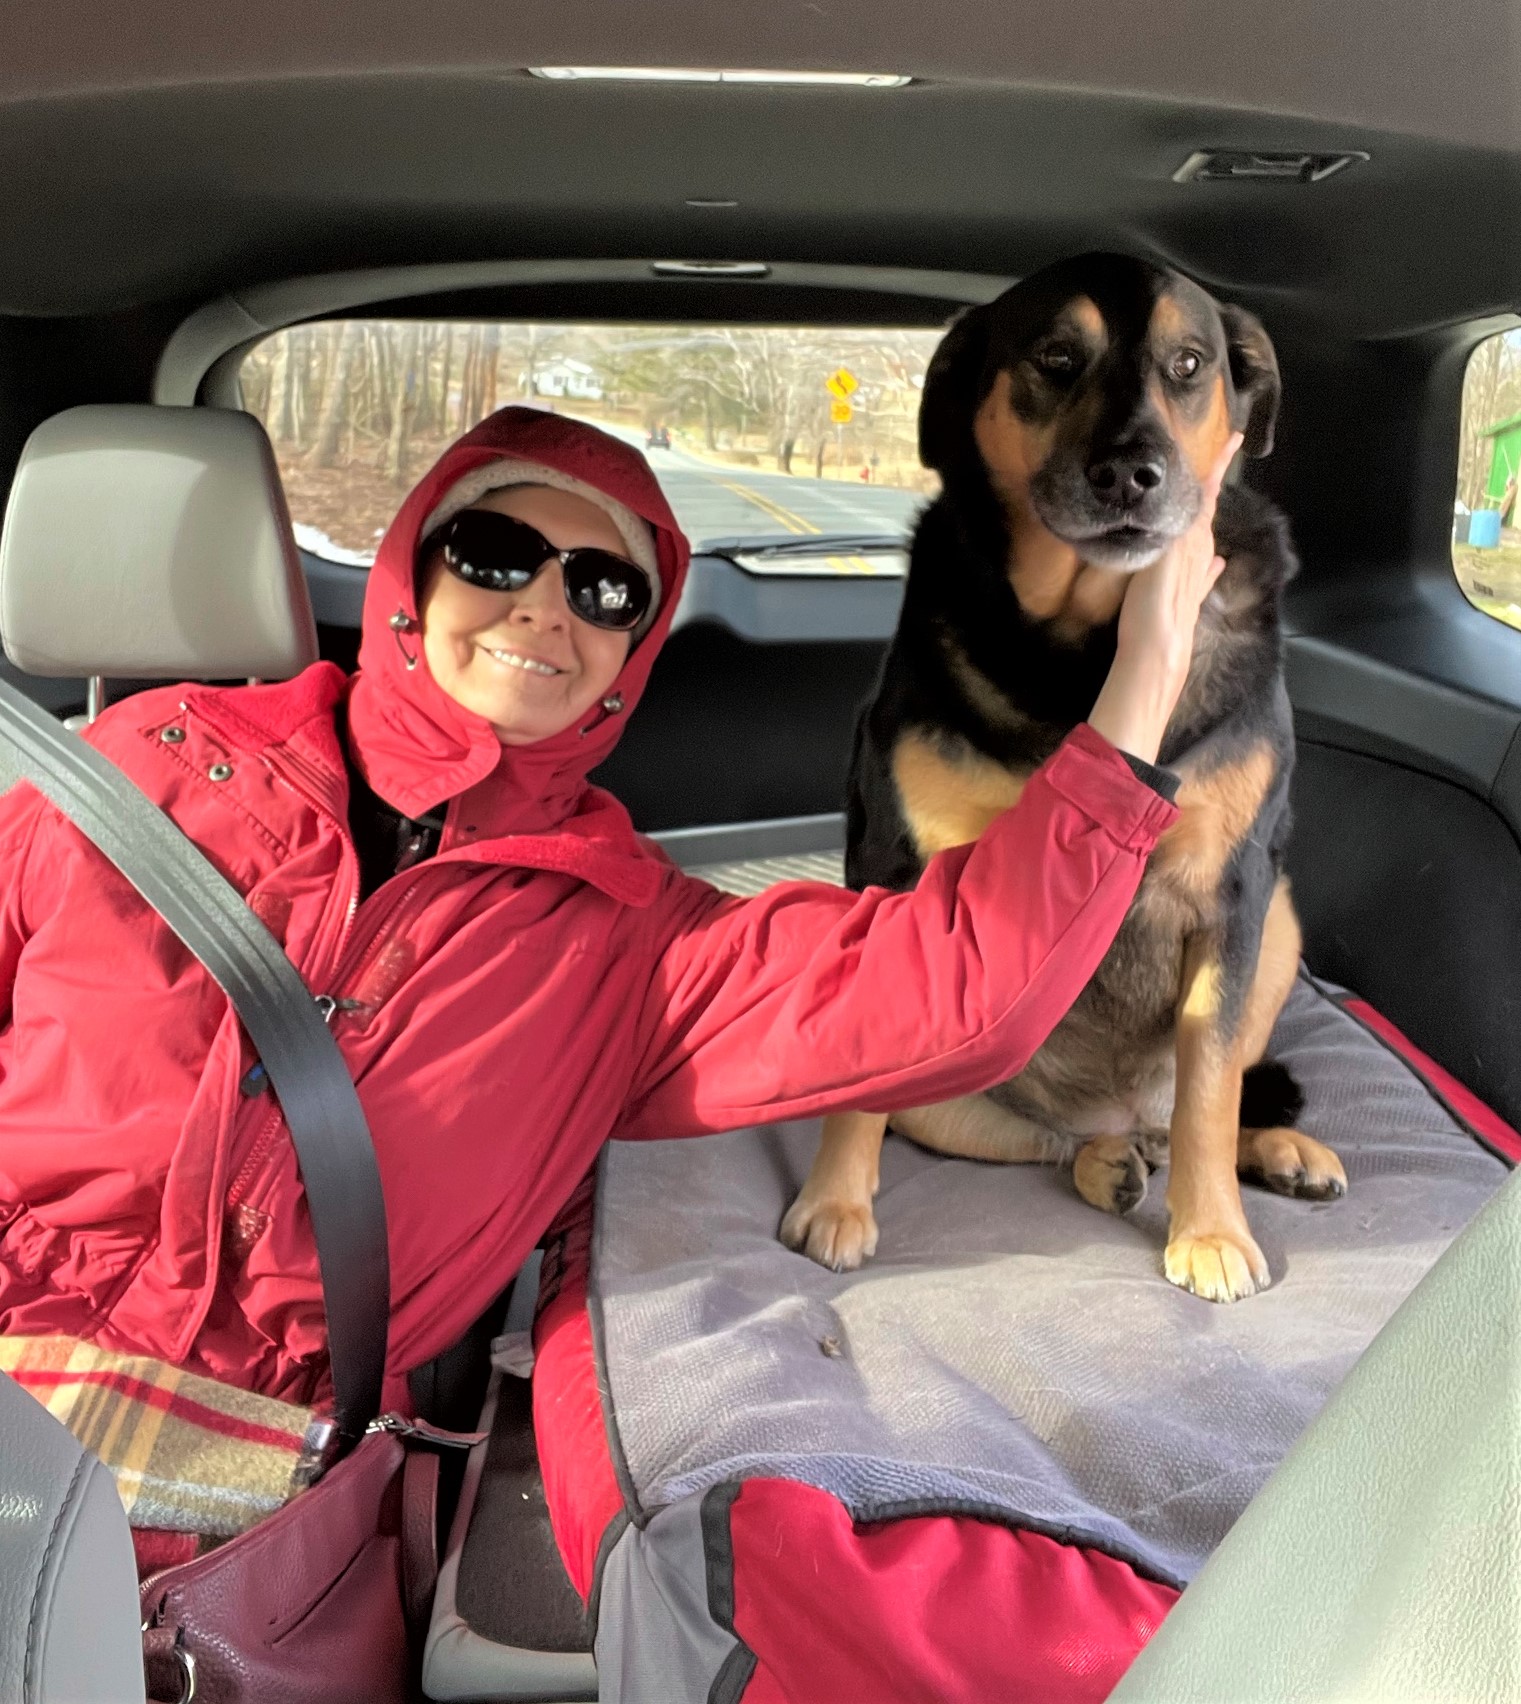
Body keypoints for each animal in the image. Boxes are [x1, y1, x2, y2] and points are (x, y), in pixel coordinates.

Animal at [783, 252, 1342, 1295]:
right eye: (1053, 357)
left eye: (1189, 362)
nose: (1129, 471)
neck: (1084, 643)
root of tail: (1107, 1111)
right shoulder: (893, 868)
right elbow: (861, 1092)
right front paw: (835, 1201)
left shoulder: (1235, 891)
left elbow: (1211, 1091)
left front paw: (1210, 1230)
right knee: (1043, 1142)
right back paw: (1104, 1159)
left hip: (1279, 923)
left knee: (1196, 1106)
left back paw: (1271, 1150)